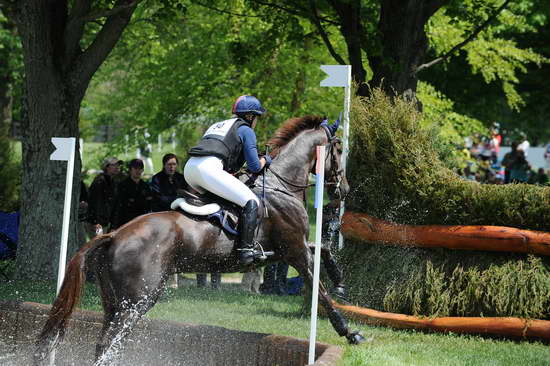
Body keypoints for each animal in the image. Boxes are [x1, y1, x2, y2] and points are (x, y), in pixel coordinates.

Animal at [32, 116, 364, 364]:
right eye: (338, 150)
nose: (345, 189)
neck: (280, 183)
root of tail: (114, 234)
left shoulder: (283, 251)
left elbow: (324, 250)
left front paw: (341, 282)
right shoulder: (294, 250)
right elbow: (320, 290)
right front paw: (350, 332)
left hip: (114, 301)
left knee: (106, 343)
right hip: (137, 300)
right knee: (110, 343)